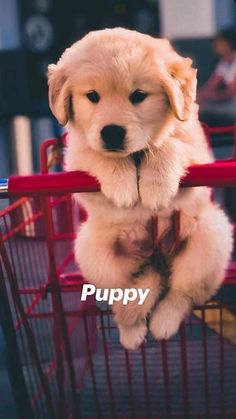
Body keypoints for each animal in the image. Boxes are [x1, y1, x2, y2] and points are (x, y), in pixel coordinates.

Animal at [48, 27, 232, 352]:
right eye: (92, 96)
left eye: (138, 96)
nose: (111, 133)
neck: (134, 155)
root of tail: (156, 259)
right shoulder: (78, 158)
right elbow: (100, 155)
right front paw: (123, 185)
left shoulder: (198, 154)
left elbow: (168, 145)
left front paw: (155, 187)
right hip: (93, 253)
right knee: (126, 293)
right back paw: (131, 330)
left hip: (210, 237)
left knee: (181, 293)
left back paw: (163, 322)